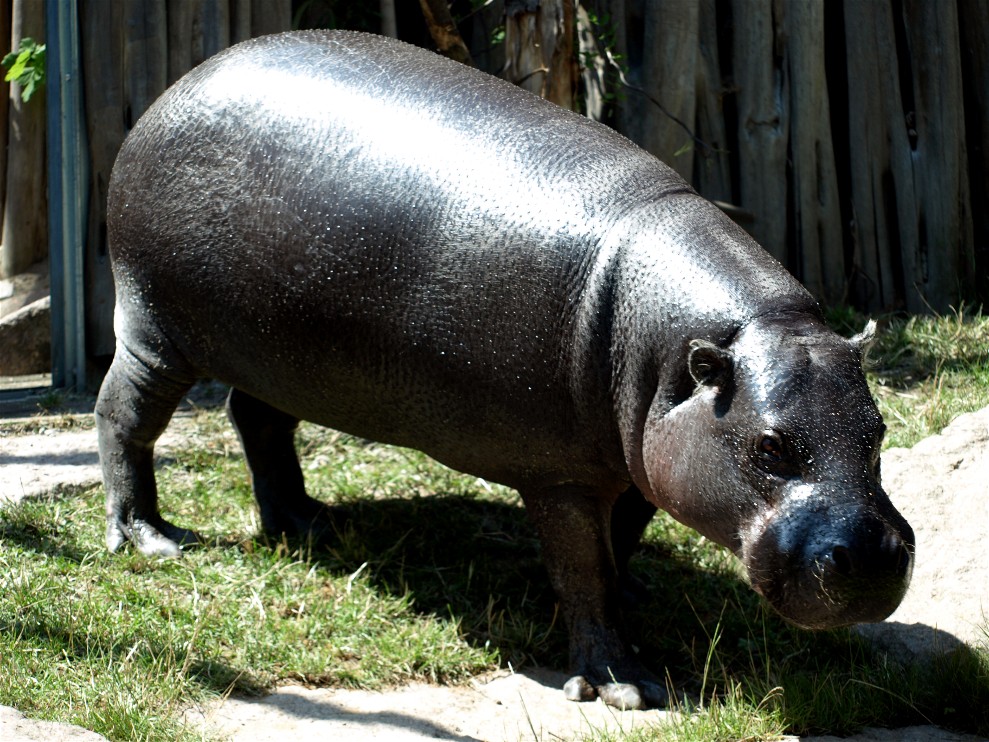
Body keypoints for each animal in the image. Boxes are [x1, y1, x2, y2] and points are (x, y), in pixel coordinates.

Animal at [96, 30, 914, 709]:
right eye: (768, 447)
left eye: (879, 431)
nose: (874, 558)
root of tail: (179, 83)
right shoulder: (561, 474)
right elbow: (583, 566)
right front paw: (624, 687)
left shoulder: (637, 455)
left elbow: (616, 545)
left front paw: (611, 597)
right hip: (157, 328)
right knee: (125, 418)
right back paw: (152, 538)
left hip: (283, 354)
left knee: (258, 420)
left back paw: (312, 525)